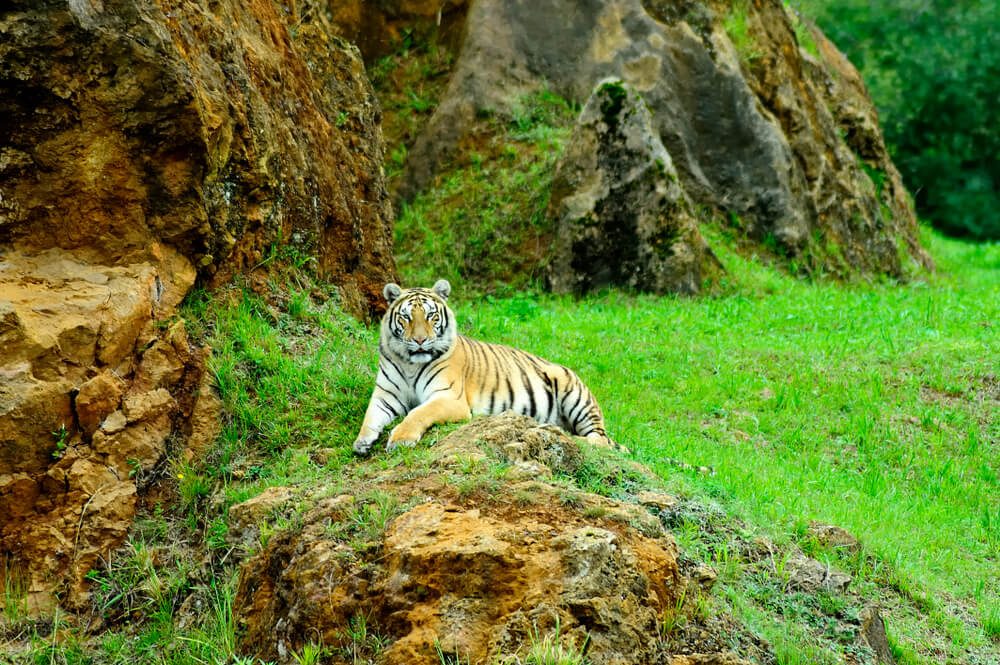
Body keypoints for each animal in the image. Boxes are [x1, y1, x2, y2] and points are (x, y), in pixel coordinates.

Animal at [348, 278, 620, 454]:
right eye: (406, 317)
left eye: (430, 316)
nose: (420, 340)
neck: (410, 363)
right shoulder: (386, 396)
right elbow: (370, 416)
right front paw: (362, 442)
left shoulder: (448, 398)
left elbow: (418, 413)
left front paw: (401, 439)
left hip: (575, 395)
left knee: (601, 440)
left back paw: (575, 438)